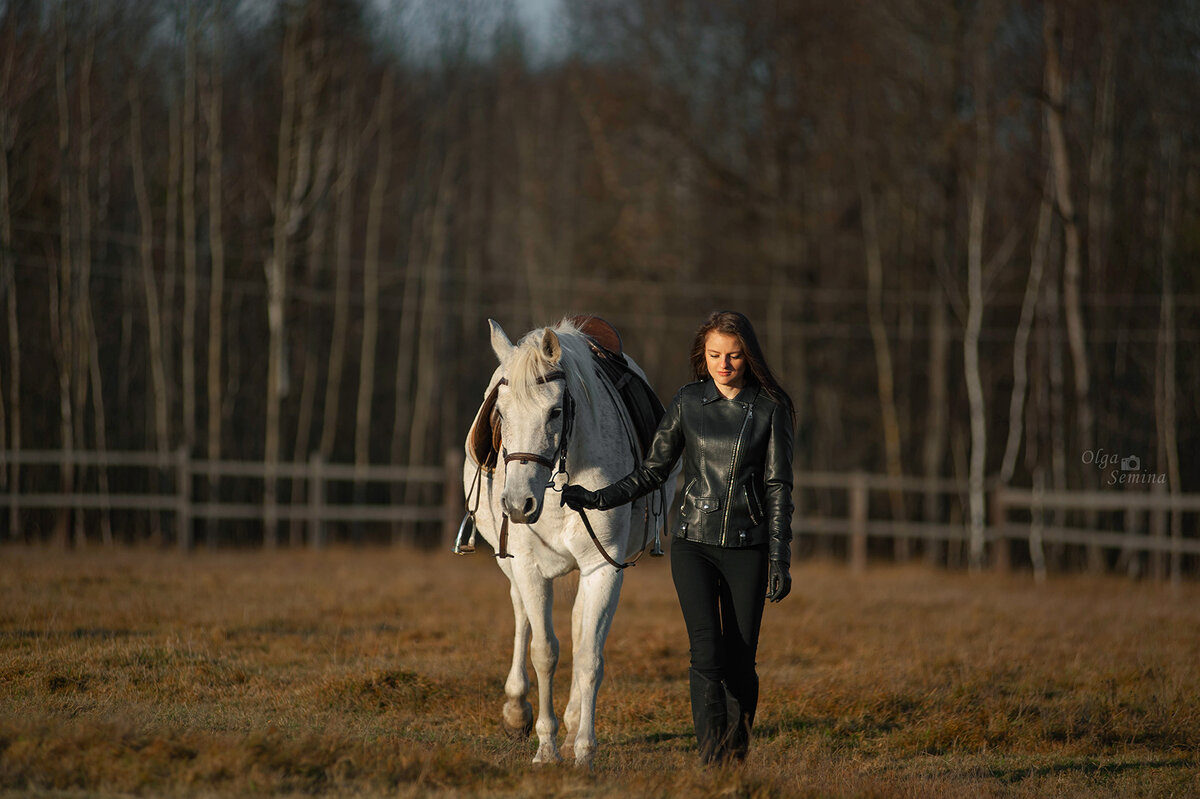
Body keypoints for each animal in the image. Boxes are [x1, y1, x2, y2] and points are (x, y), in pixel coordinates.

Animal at [463, 316, 676, 767]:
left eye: (555, 411)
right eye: (500, 413)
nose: (518, 504)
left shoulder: (602, 568)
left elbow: (588, 656)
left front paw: (582, 749)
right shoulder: (528, 567)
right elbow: (544, 651)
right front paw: (545, 747)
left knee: (581, 631)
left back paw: (574, 721)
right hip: (510, 564)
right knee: (521, 616)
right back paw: (516, 711)